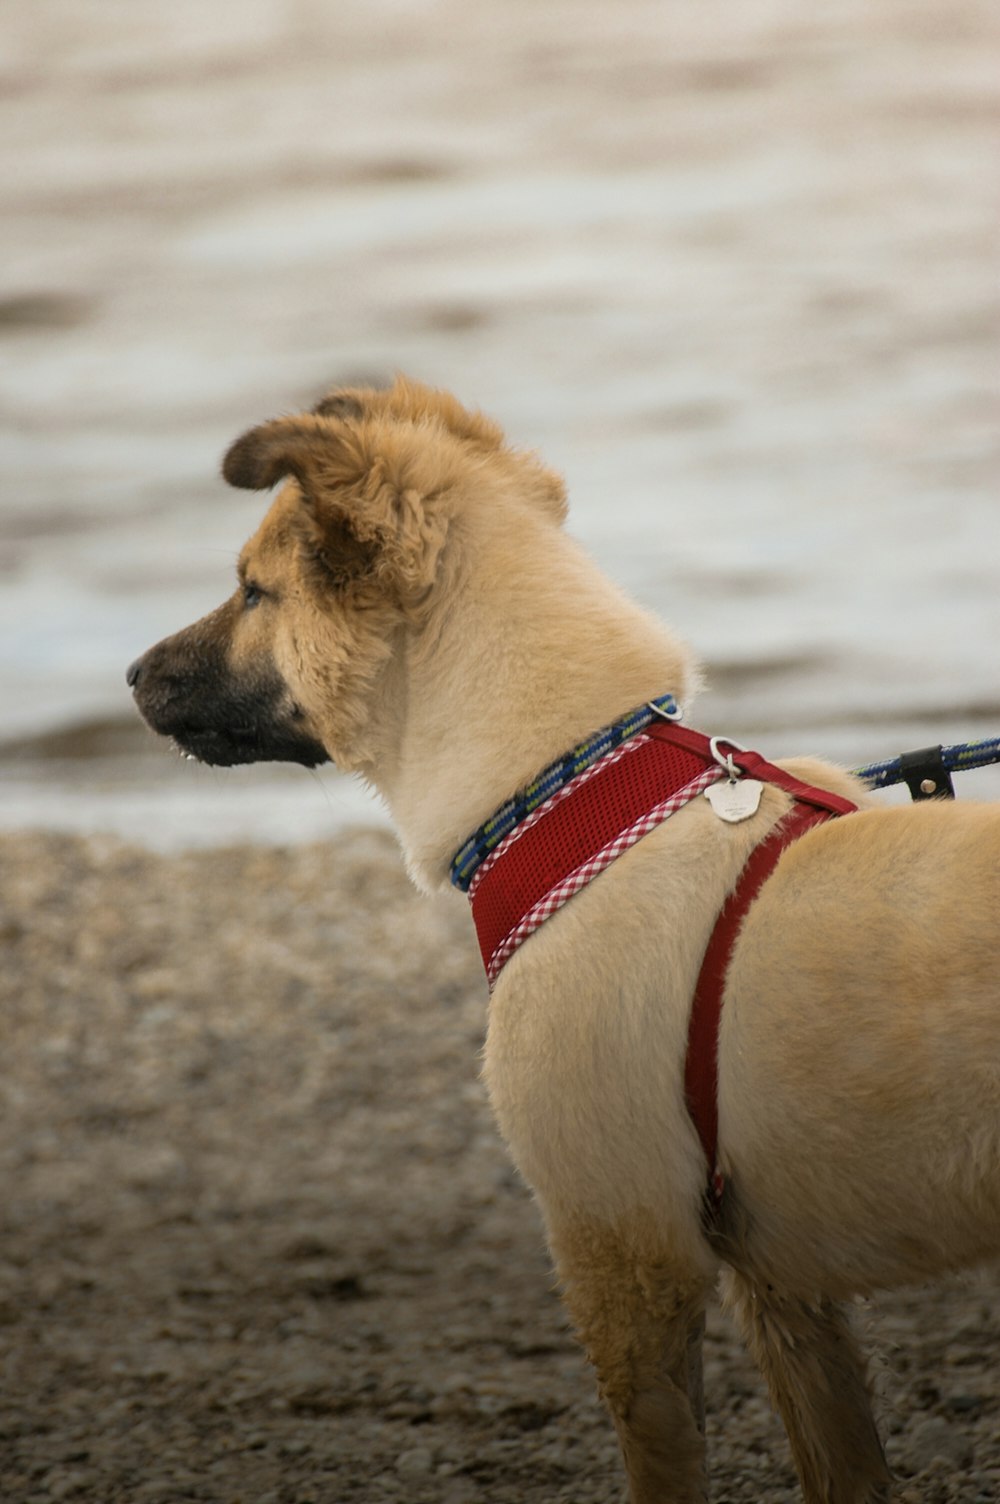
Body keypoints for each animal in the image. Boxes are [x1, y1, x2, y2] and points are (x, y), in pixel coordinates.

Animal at [128, 379, 998, 1504]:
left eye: (251, 592)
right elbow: (840, 1464)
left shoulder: (618, 1251)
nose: (130, 675)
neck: (573, 787)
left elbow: (661, 1461)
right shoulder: (784, 1291)